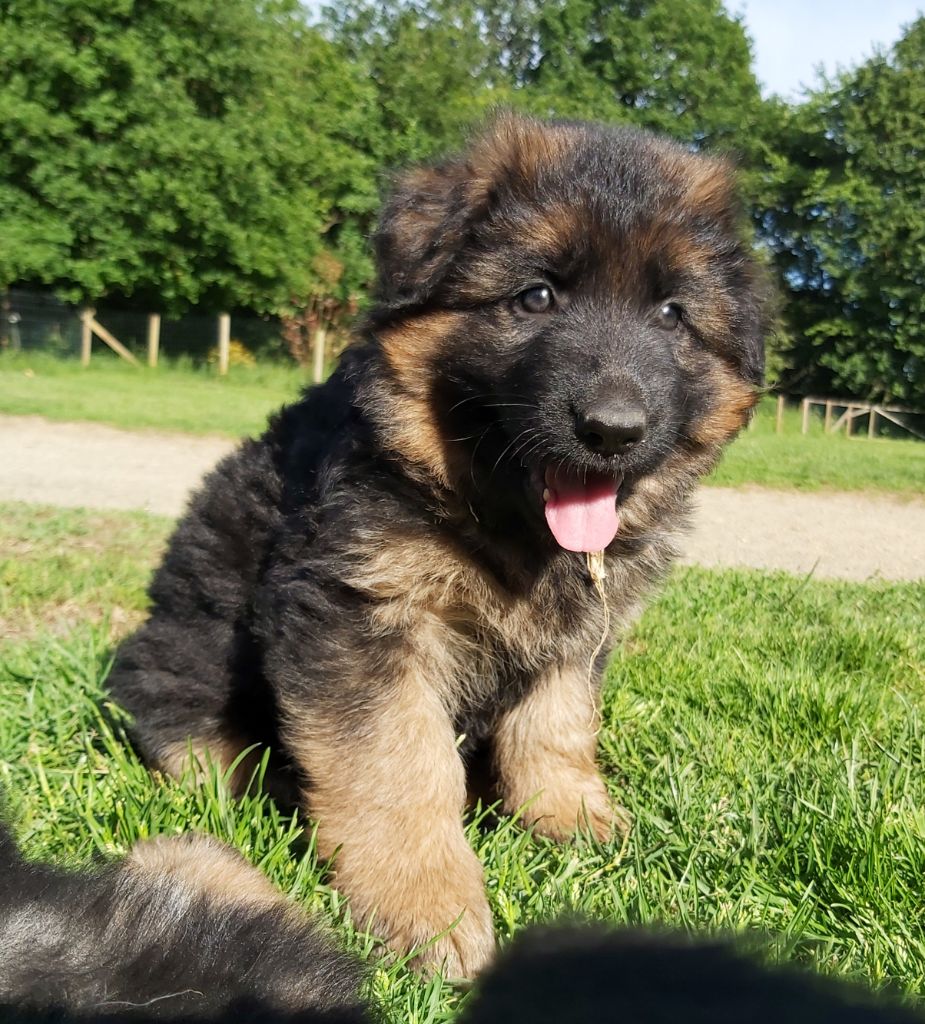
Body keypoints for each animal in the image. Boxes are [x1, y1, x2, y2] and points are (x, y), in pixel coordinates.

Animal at [108, 110, 770, 974]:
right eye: (535, 295)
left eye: (671, 314)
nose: (613, 429)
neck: (506, 522)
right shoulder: (360, 614)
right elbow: (400, 767)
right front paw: (426, 907)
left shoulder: (582, 629)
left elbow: (556, 723)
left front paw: (570, 816)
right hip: (186, 654)